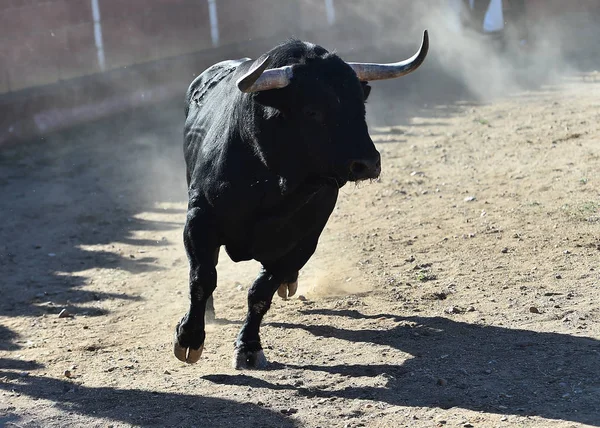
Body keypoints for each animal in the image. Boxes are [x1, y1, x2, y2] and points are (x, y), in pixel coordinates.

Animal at [171, 32, 428, 368]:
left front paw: (249, 347)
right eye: (312, 111)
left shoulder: (304, 240)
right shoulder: (199, 219)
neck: (272, 182)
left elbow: (260, 292)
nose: (368, 163)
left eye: (360, 105)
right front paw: (189, 338)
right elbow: (202, 278)